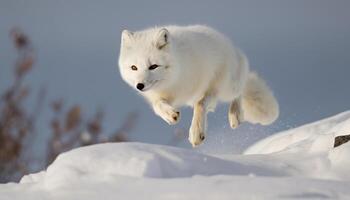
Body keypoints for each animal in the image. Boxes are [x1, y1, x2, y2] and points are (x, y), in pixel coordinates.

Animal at [117, 25, 278, 147]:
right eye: (134, 68)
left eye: (153, 66)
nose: (139, 85)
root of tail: (232, 47)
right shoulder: (161, 96)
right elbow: (158, 106)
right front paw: (170, 115)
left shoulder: (211, 88)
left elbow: (200, 105)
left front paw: (196, 133)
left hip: (228, 87)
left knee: (240, 89)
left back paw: (235, 115)